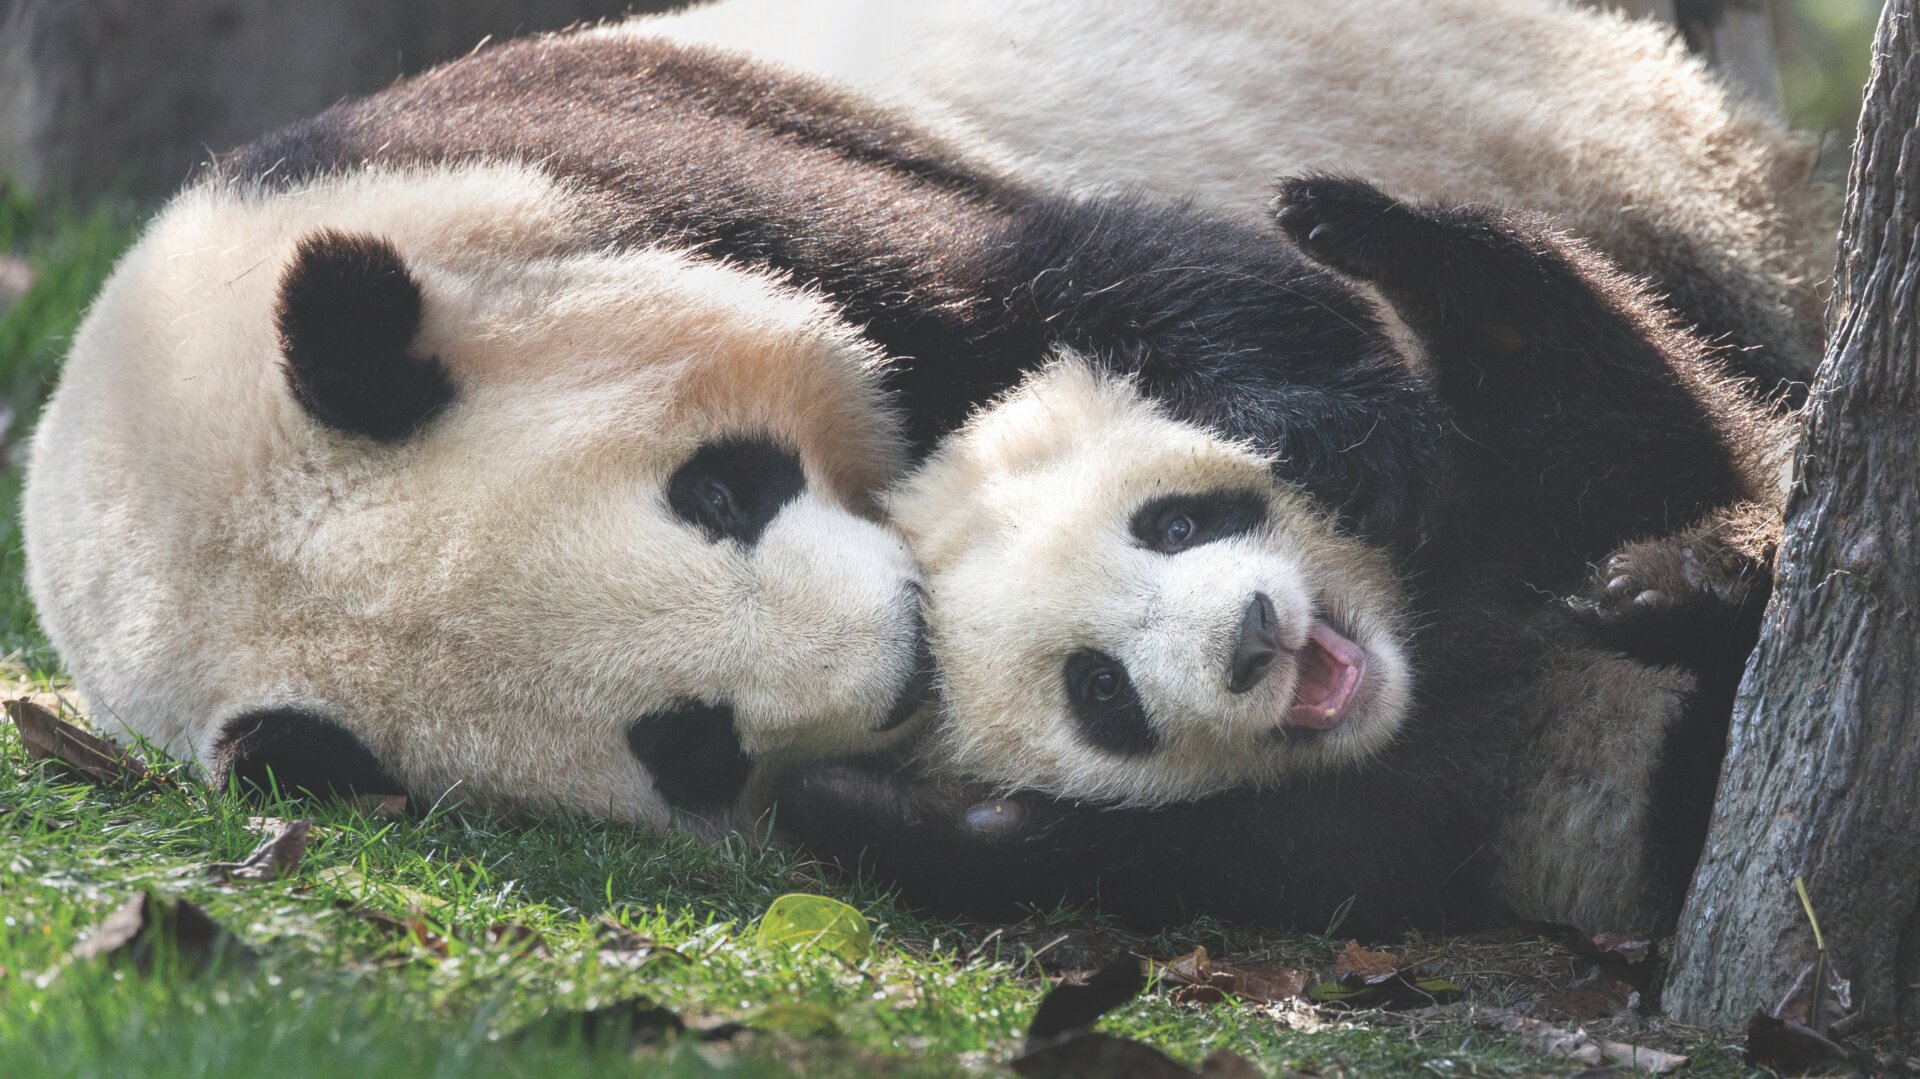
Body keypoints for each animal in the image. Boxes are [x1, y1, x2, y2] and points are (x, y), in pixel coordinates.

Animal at [779, 177, 1794, 934]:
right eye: (1099, 686)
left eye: (1173, 526)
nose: (1254, 637)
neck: (1431, 664)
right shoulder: (1368, 822)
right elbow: (1230, 862)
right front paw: (867, 807)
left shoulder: (1523, 494)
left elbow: (1611, 400)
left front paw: (1364, 225)